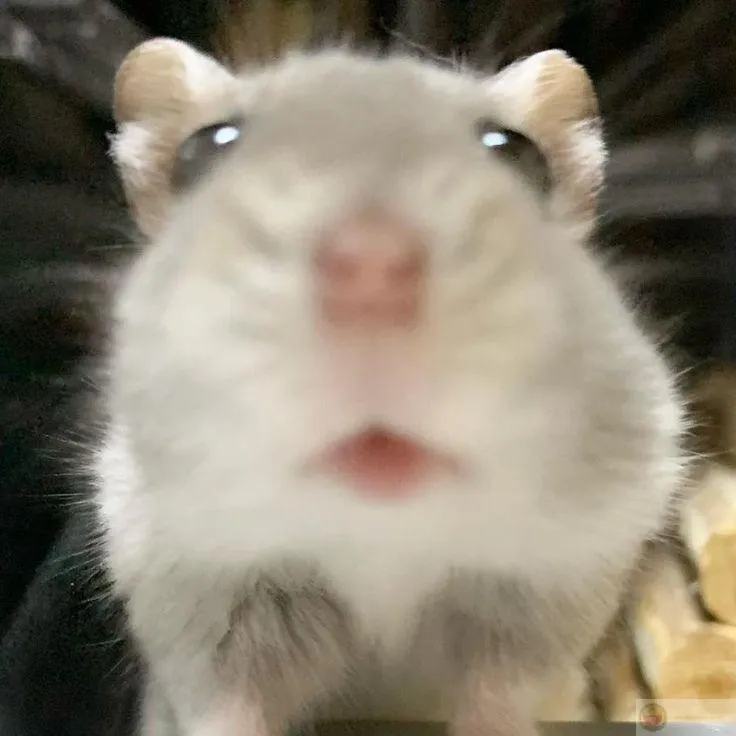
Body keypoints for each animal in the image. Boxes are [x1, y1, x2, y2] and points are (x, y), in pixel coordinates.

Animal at [96, 40, 687, 736]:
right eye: (205, 150)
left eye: (515, 153)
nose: (370, 269)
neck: (379, 531)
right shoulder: (194, 585)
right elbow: (227, 705)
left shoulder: (557, 575)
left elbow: (498, 694)